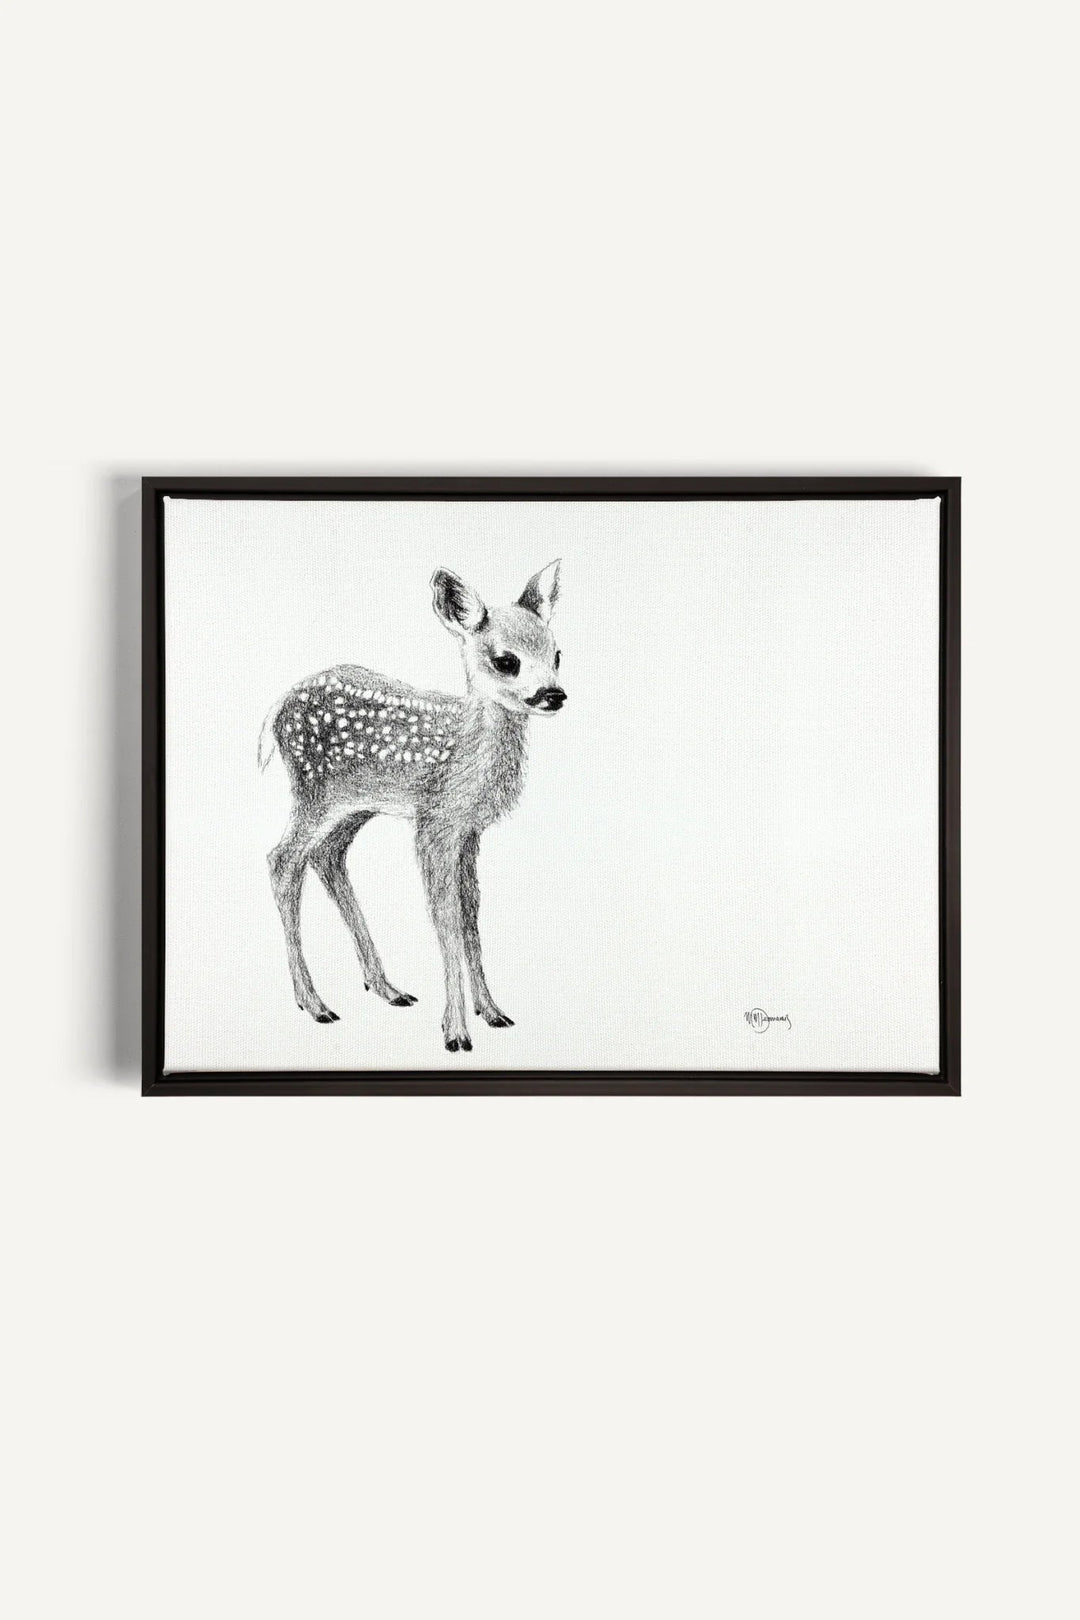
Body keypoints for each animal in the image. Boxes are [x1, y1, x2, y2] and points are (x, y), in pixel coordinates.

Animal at [258, 561, 566, 1052]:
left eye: (557, 654)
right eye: (507, 660)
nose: (554, 695)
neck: (468, 749)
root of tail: (277, 709)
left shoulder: (467, 828)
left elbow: (470, 910)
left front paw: (492, 1012)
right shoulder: (434, 821)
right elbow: (445, 917)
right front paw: (456, 1032)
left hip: (354, 804)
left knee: (327, 856)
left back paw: (386, 988)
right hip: (313, 791)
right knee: (283, 859)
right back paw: (315, 1003)